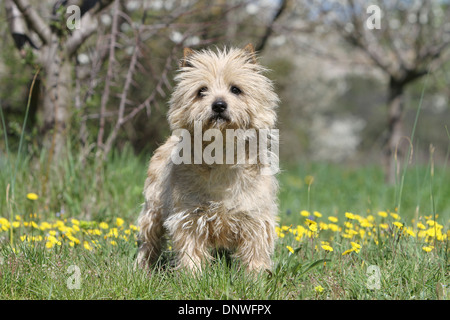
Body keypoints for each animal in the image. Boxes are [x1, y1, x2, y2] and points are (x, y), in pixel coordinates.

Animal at [135, 43, 280, 272]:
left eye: (236, 89)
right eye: (201, 91)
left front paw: (255, 276)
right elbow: (190, 249)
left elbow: (255, 250)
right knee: (149, 240)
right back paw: (142, 268)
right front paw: (193, 275)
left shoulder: (254, 216)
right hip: (153, 208)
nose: (219, 105)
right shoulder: (189, 216)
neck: (221, 153)